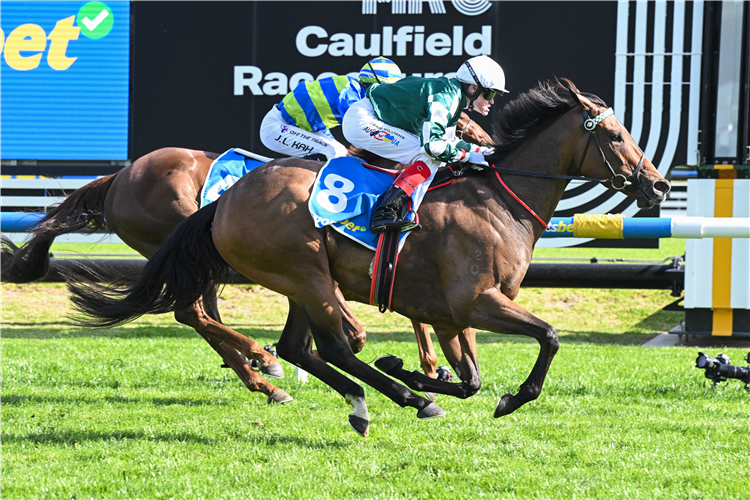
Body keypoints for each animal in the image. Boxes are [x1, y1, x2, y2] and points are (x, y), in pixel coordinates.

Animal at [0, 111, 490, 404]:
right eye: (463, 119)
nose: (486, 142)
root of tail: (118, 178)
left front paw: (434, 366)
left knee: (197, 314)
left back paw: (258, 373)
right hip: (183, 246)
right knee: (191, 312)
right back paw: (261, 361)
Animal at [64, 80, 672, 436]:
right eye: (614, 135)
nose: (659, 185)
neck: (499, 198)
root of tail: (224, 202)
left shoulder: (453, 314)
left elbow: (470, 378)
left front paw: (417, 371)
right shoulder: (475, 302)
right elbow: (548, 336)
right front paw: (506, 396)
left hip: (300, 279)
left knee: (297, 345)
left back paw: (333, 385)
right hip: (304, 274)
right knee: (320, 342)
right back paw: (378, 395)